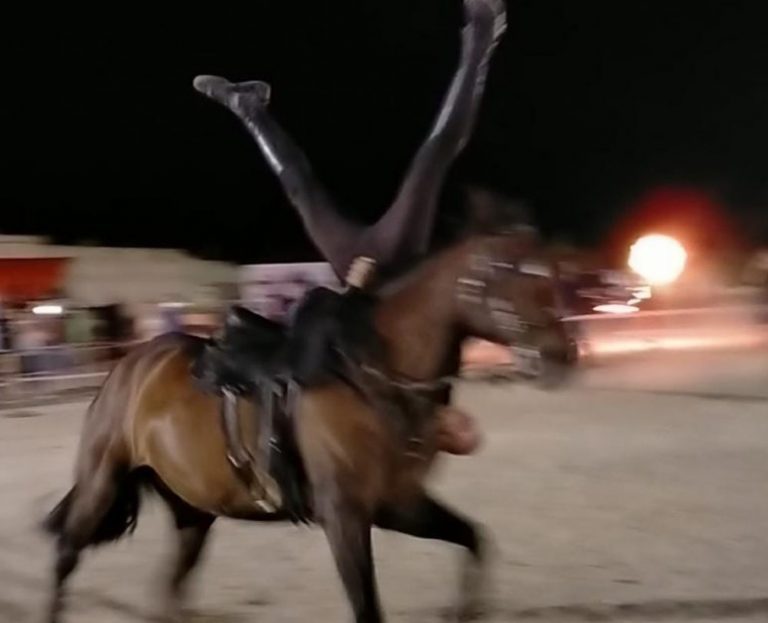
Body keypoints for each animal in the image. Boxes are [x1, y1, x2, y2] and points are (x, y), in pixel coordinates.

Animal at [40, 230, 568, 623]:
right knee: (65, 558)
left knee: (169, 587)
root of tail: (130, 365)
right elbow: (367, 608)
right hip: (101, 482)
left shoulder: (399, 504)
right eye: (514, 273)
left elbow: (474, 539)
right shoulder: (344, 516)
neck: (368, 372)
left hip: (193, 510)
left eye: (551, 275)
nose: (561, 354)